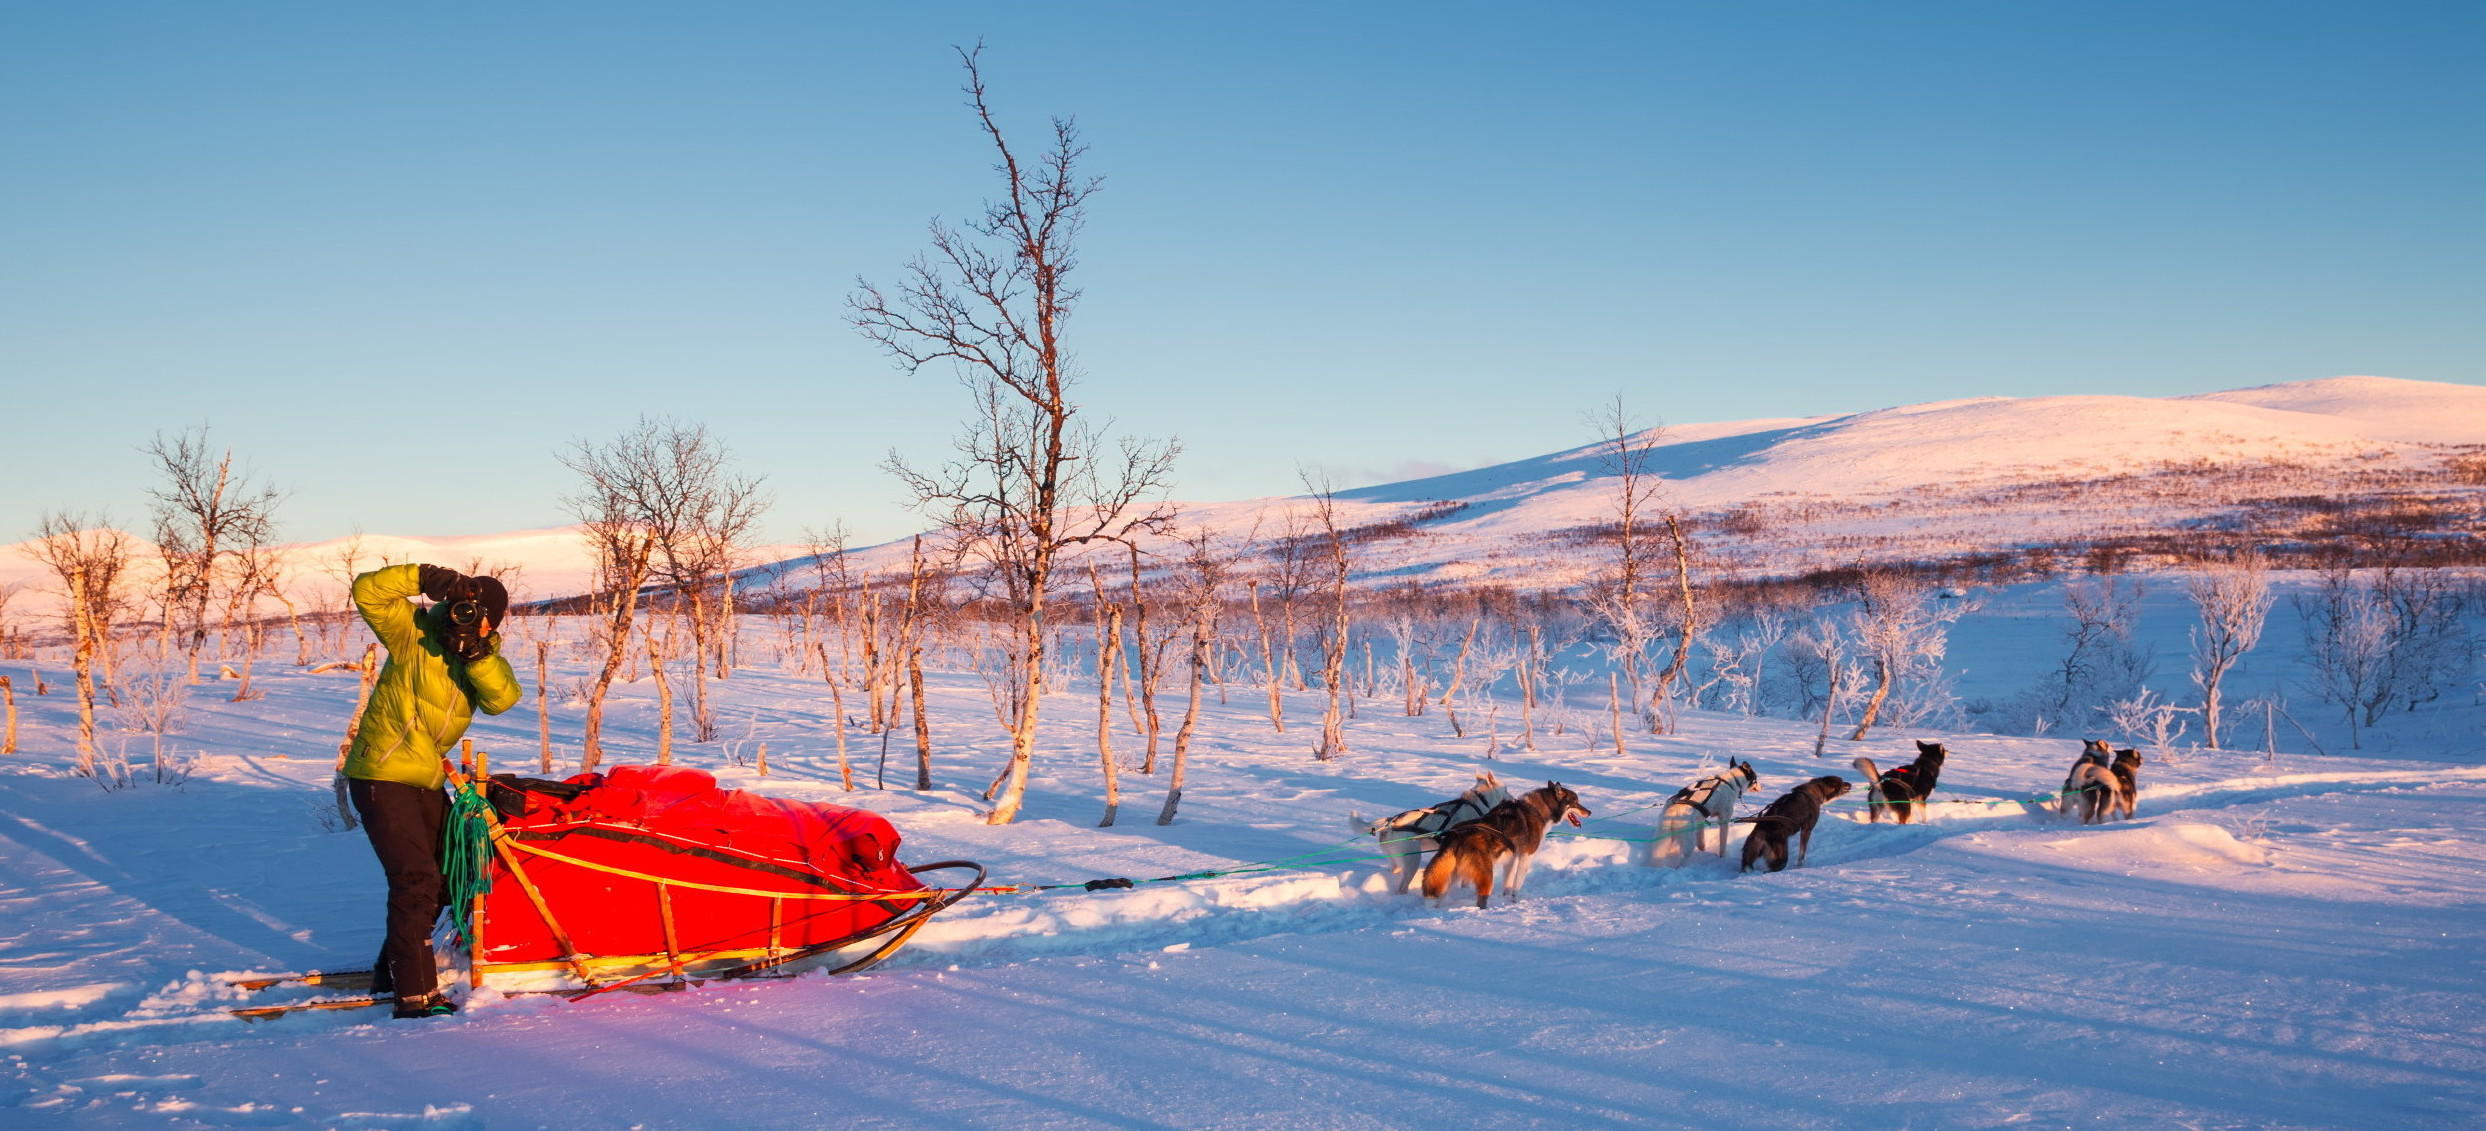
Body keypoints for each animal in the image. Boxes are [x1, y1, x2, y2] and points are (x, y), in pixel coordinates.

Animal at [1421, 780, 1591, 909]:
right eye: (1576, 802)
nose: (1589, 812)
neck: (1538, 810)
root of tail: (1456, 835)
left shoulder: (1512, 858)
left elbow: (1508, 884)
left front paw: (1506, 899)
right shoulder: (1526, 857)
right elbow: (1517, 885)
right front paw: (1515, 902)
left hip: (1451, 878)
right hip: (1486, 878)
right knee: (1481, 900)